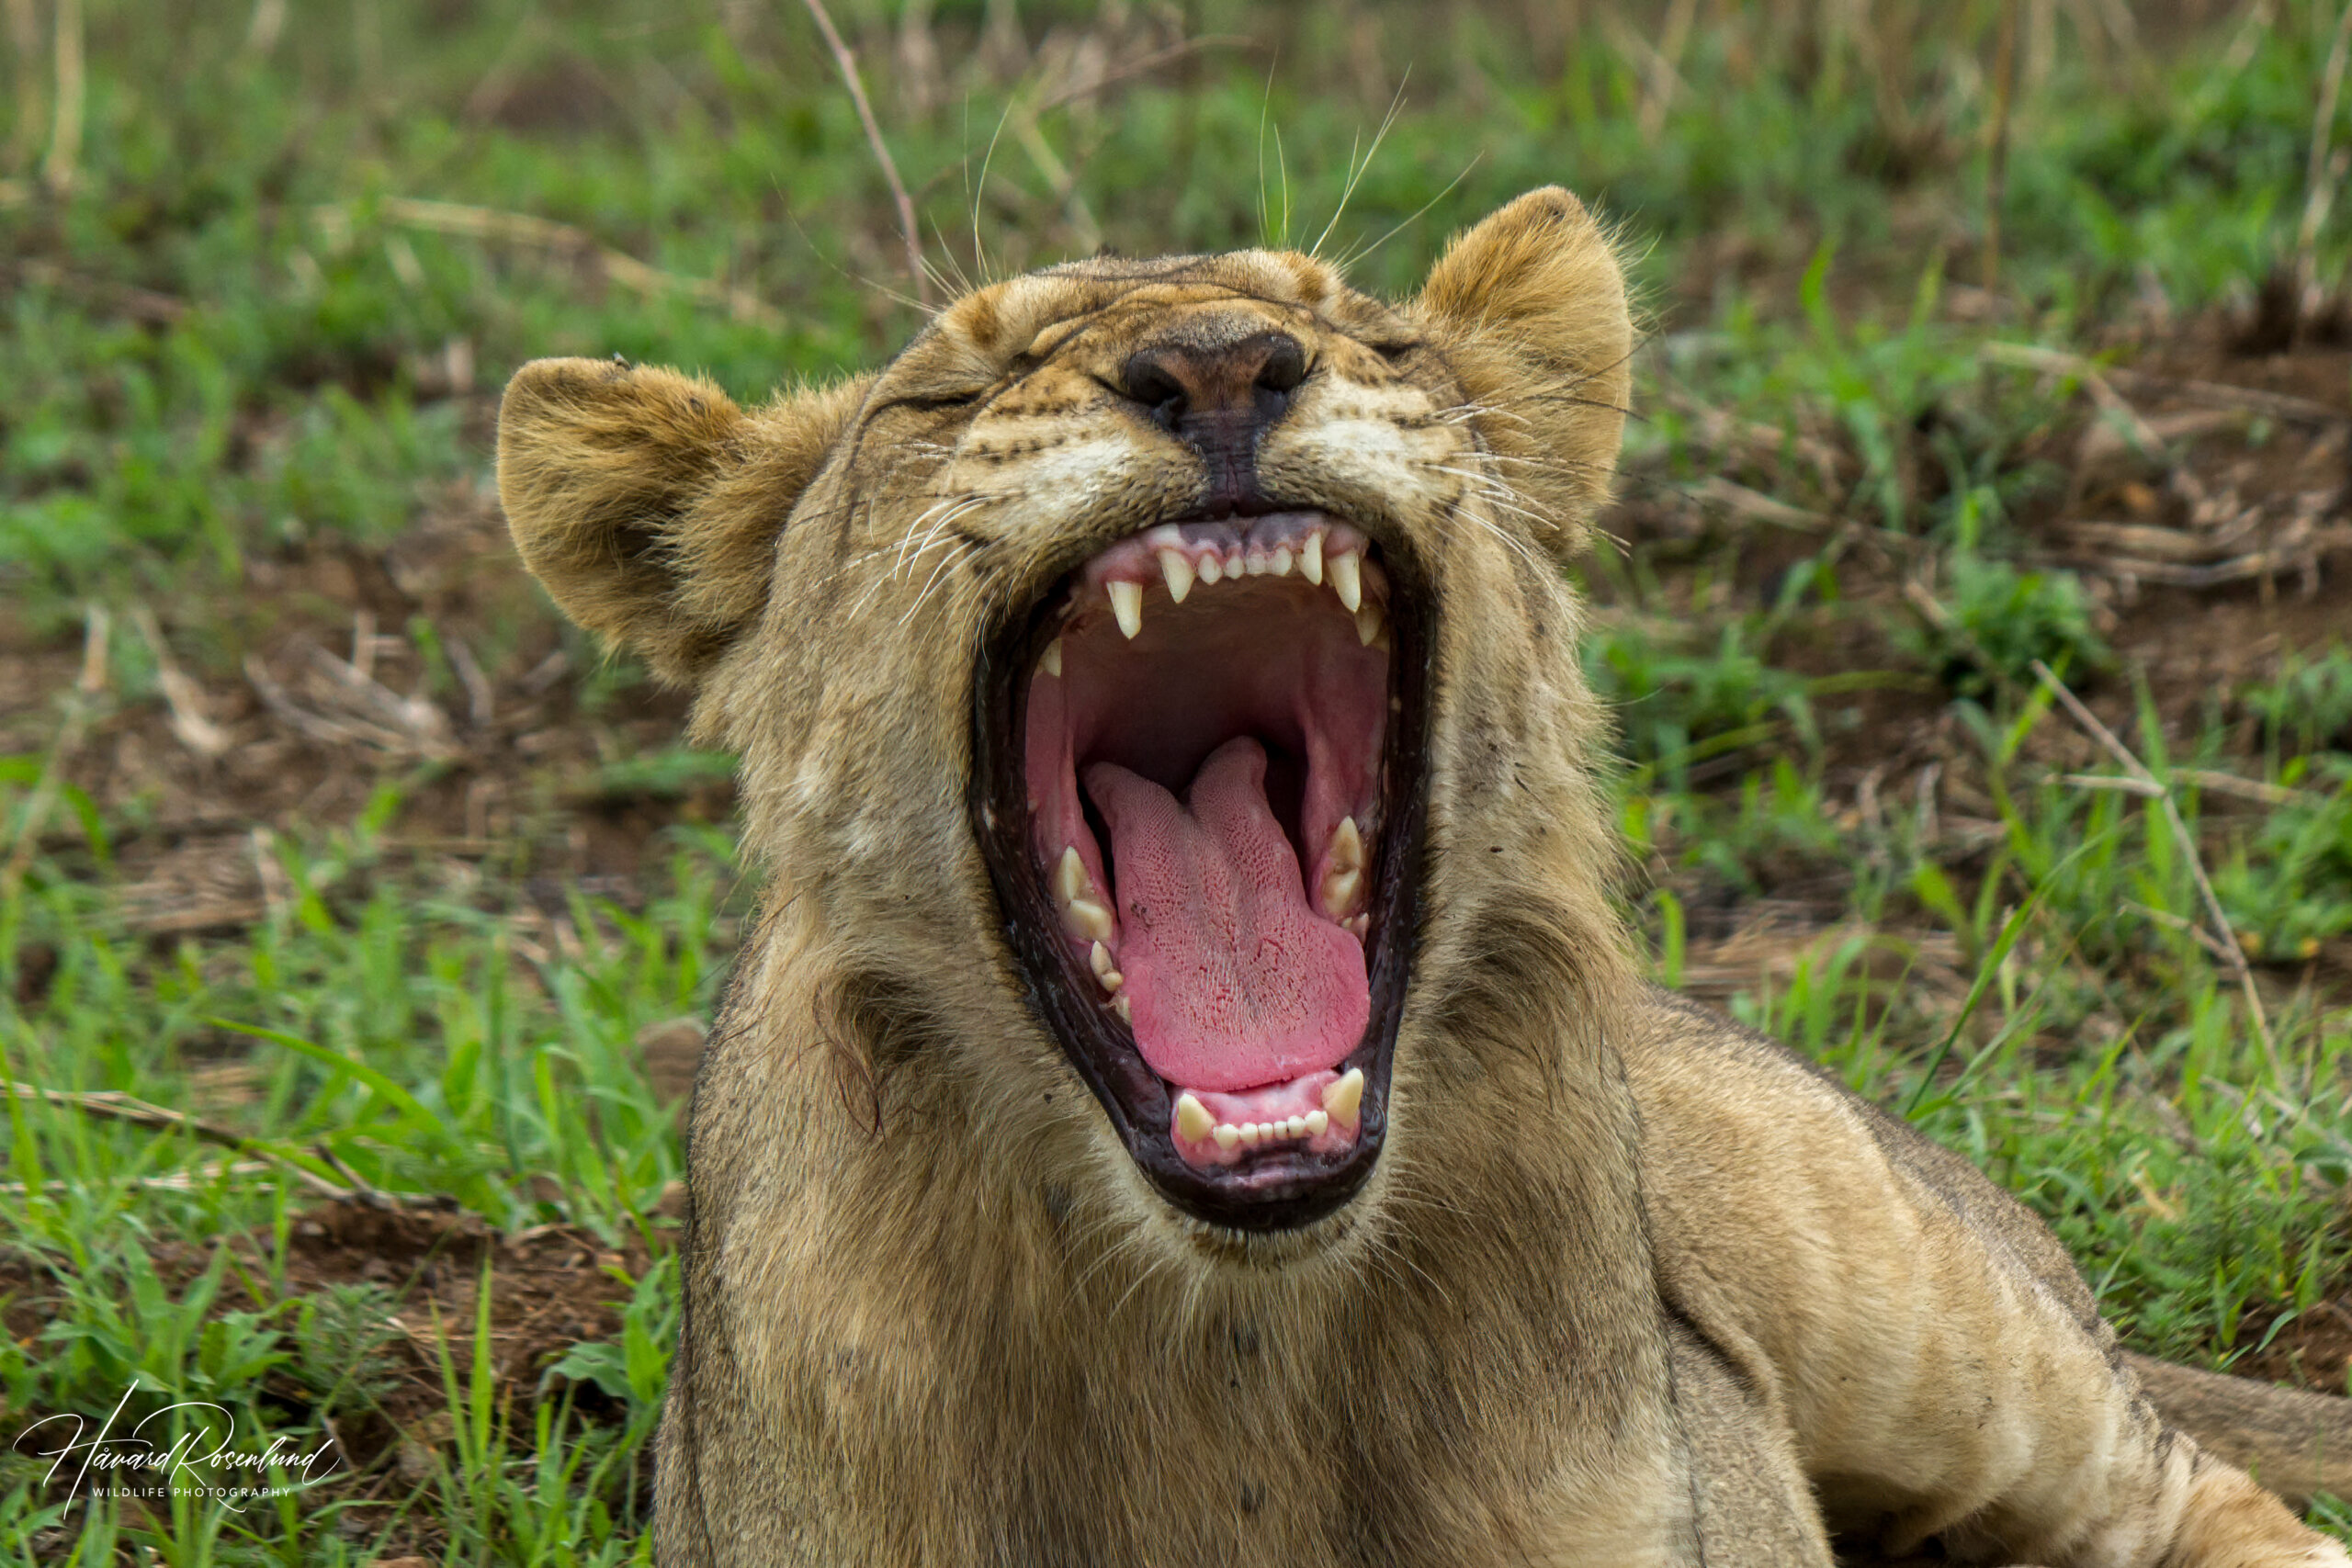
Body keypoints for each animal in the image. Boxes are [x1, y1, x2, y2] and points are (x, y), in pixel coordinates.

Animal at [496, 188, 2352, 1566]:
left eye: (1369, 335)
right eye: (947, 391)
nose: (1219, 364)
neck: (1235, 1353)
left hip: (1910, 1284)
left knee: (2186, 1484)